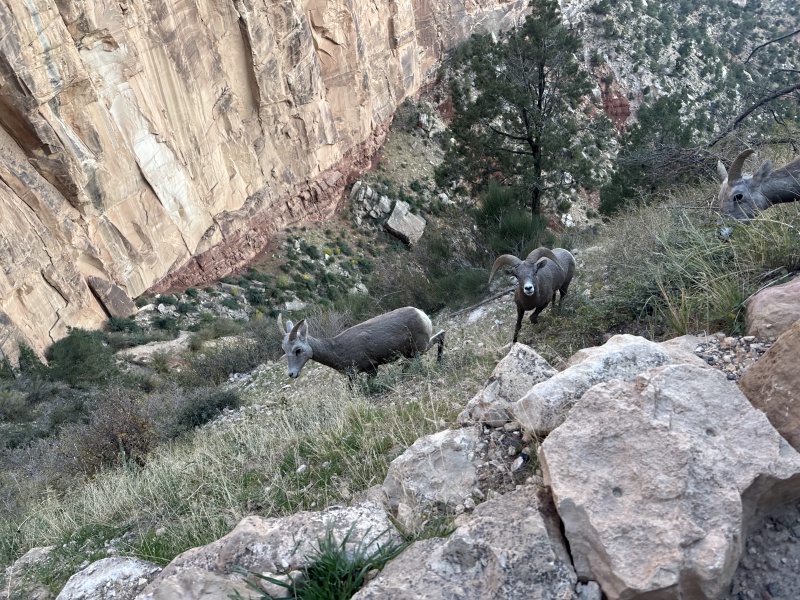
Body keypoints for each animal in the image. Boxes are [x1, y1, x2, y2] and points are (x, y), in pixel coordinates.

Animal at [277, 306, 445, 379]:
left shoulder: (372, 369)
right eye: (285, 350)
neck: (336, 349)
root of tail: (421, 314)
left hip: (419, 348)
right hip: (412, 352)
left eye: (298, 350)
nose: (291, 374)